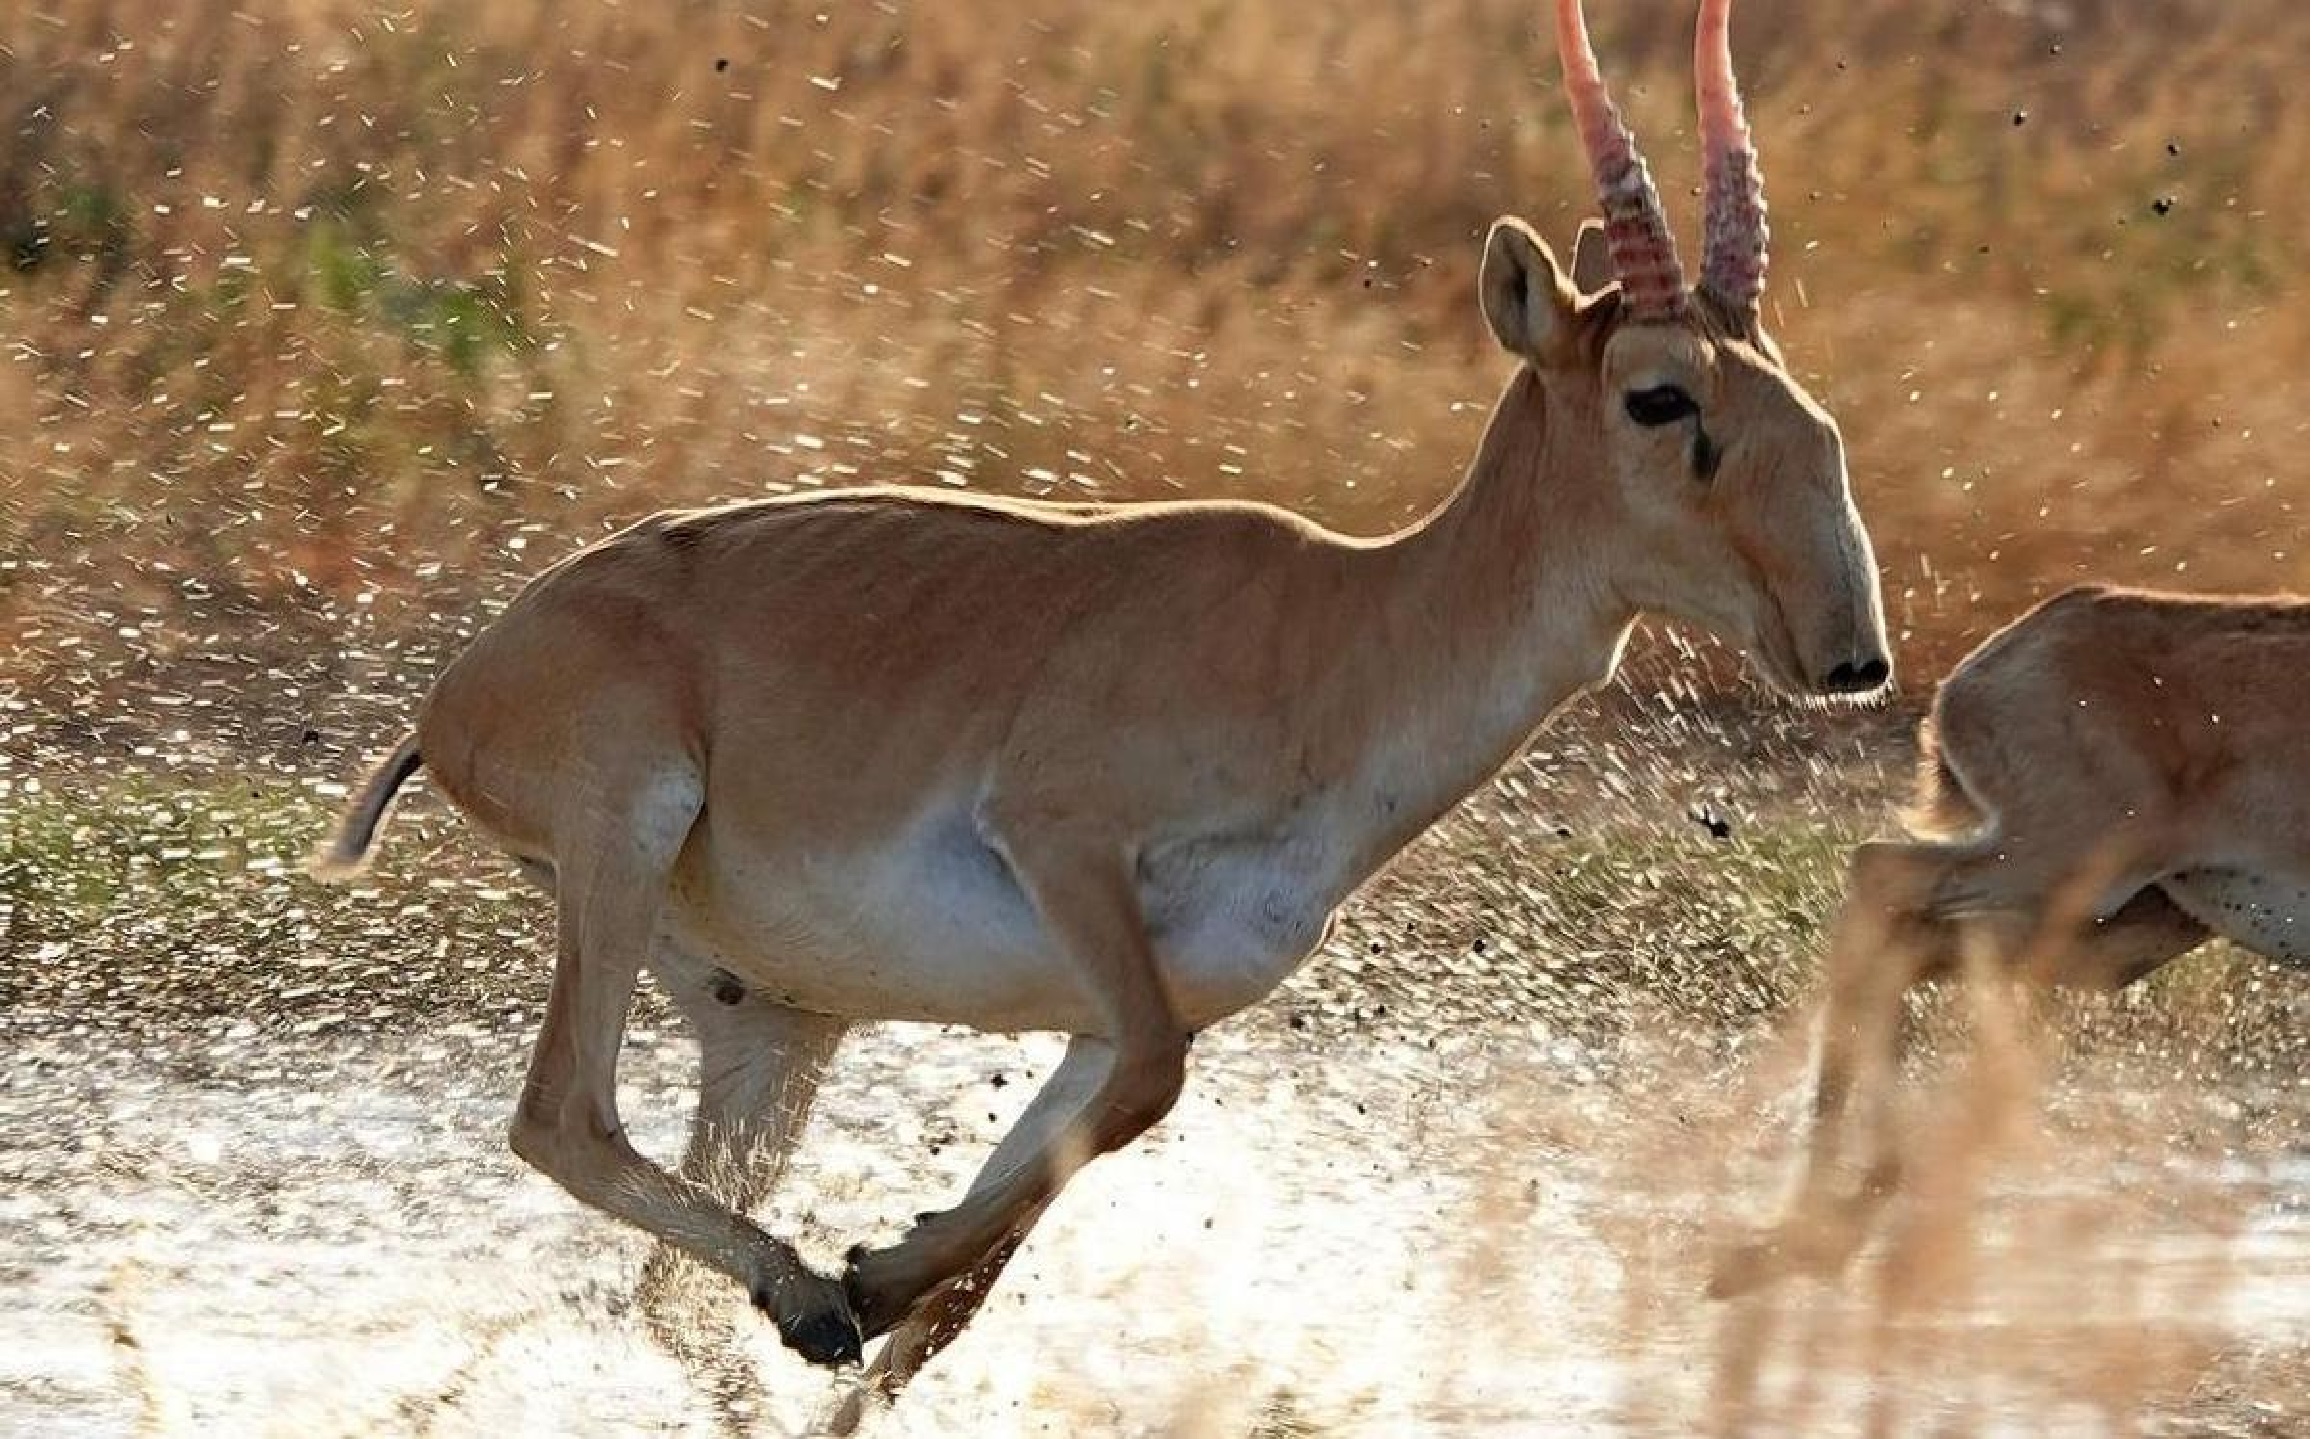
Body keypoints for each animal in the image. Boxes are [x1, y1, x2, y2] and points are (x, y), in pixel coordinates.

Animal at [313, 0, 1888, 1409]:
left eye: (1780, 378)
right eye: (1657, 393)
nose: (1849, 654)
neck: (1347, 634)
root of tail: (460, 688)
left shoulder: (1109, 1006)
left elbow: (1016, 1228)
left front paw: (887, 1293)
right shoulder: (1063, 848)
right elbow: (1145, 1093)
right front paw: (862, 1280)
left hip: (773, 1020)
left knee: (655, 1276)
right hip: (627, 836)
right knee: (561, 1117)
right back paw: (800, 1287)